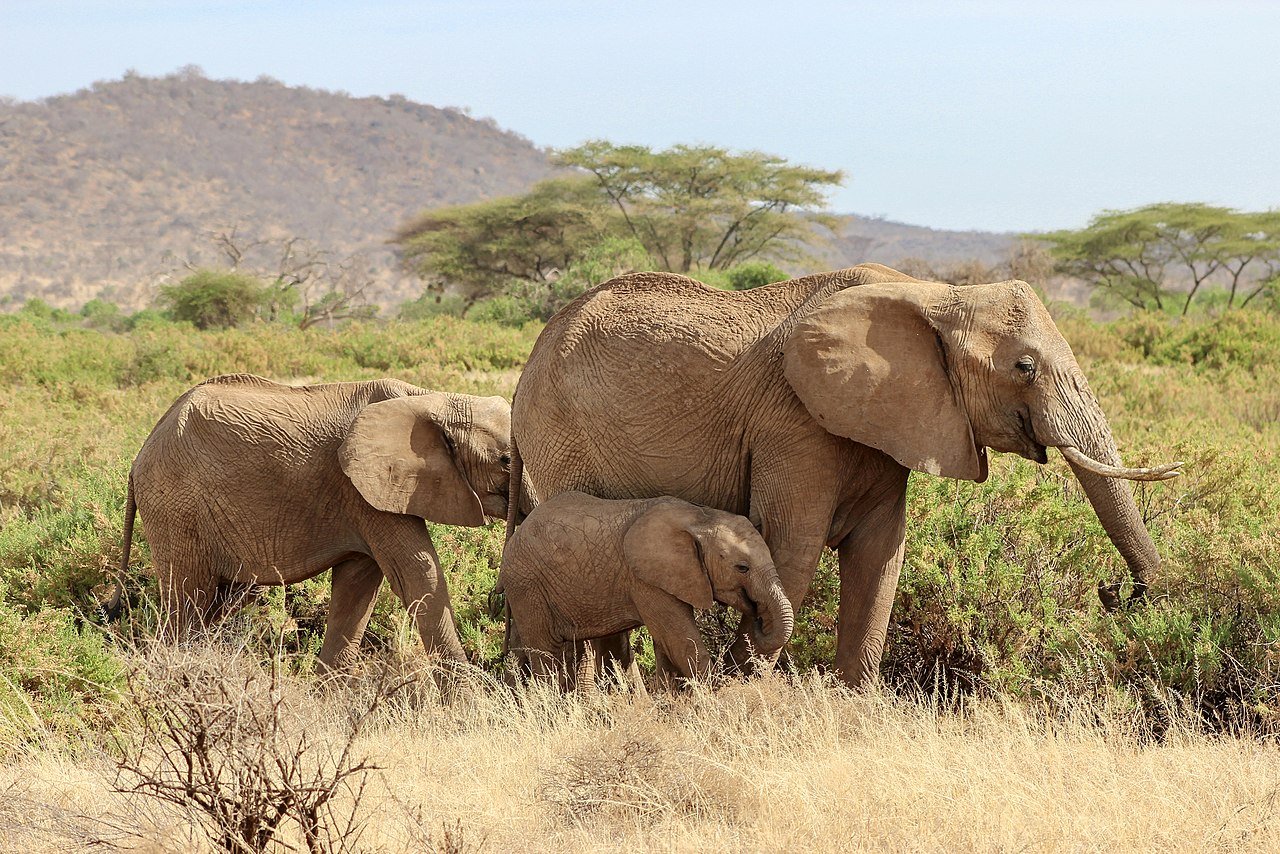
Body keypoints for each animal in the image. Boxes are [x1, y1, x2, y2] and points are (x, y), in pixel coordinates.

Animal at [499, 491, 788, 691]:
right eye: (742, 568)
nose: (758, 616)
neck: (700, 519)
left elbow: (667, 642)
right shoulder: (645, 580)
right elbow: (681, 640)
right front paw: (717, 698)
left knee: (573, 651)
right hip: (526, 586)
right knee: (546, 651)